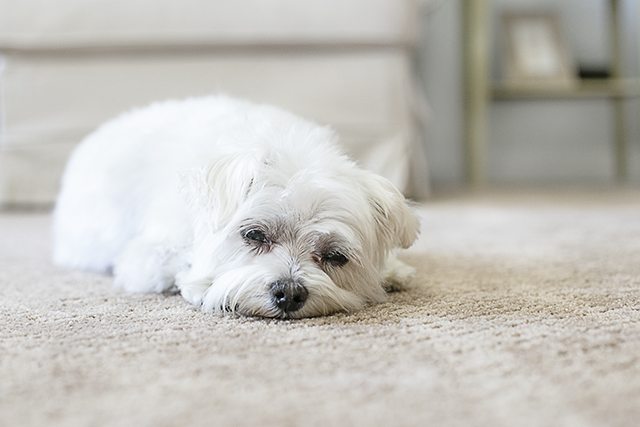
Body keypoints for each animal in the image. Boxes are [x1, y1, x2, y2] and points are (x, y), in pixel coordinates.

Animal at [52, 96, 418, 318]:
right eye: (254, 235)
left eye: (335, 256)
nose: (289, 293)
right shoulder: (144, 258)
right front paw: (203, 283)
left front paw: (392, 271)